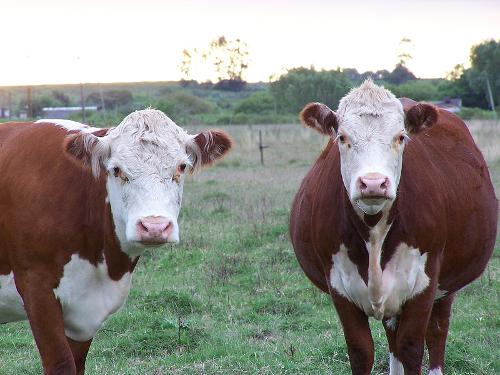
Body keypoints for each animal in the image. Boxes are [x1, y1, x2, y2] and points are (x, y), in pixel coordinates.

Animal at [0, 109, 230, 375]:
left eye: (181, 166)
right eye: (117, 169)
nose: (154, 226)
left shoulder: (85, 313)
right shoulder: (36, 287)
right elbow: (61, 363)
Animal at [292, 81, 498, 375]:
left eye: (401, 137)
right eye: (342, 137)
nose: (373, 183)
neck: (373, 231)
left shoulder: (425, 282)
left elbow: (411, 347)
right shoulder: (339, 287)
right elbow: (361, 351)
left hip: (447, 282)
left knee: (437, 331)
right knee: (392, 333)